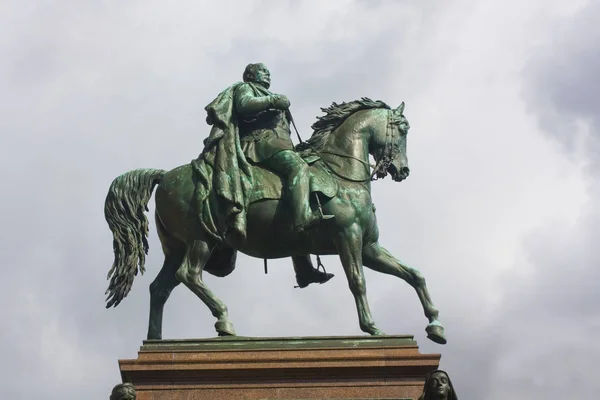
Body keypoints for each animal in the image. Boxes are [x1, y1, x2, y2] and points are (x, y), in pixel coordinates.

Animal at [104, 98, 446, 346]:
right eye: (403, 130)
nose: (403, 170)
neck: (342, 173)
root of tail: (164, 176)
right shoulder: (348, 237)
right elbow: (357, 281)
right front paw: (372, 327)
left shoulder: (370, 246)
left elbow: (414, 275)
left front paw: (435, 325)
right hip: (201, 238)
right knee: (189, 275)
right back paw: (224, 322)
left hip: (176, 247)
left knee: (160, 288)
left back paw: (156, 340)